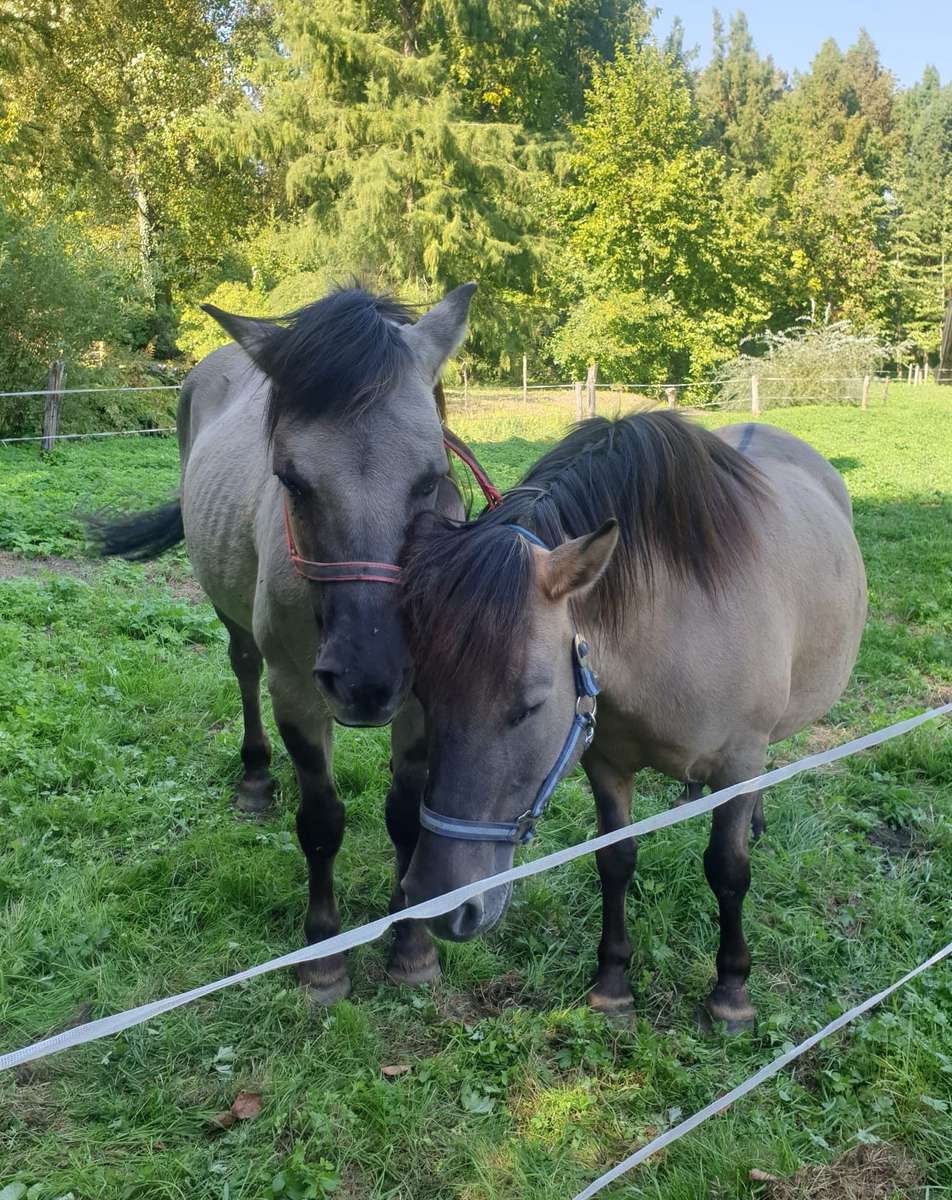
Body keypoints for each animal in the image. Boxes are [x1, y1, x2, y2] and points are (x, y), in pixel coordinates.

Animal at [91, 283, 480, 1003]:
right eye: (292, 480)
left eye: (430, 478)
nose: (367, 679)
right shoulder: (298, 692)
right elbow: (321, 822)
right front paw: (323, 957)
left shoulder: (420, 700)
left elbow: (406, 815)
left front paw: (412, 945)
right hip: (236, 622)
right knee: (242, 668)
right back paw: (254, 778)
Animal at [398, 412, 864, 1032]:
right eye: (424, 693)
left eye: (529, 704)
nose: (437, 901)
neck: (676, 624)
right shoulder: (606, 764)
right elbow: (615, 860)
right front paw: (613, 983)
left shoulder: (740, 763)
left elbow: (728, 870)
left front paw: (731, 992)